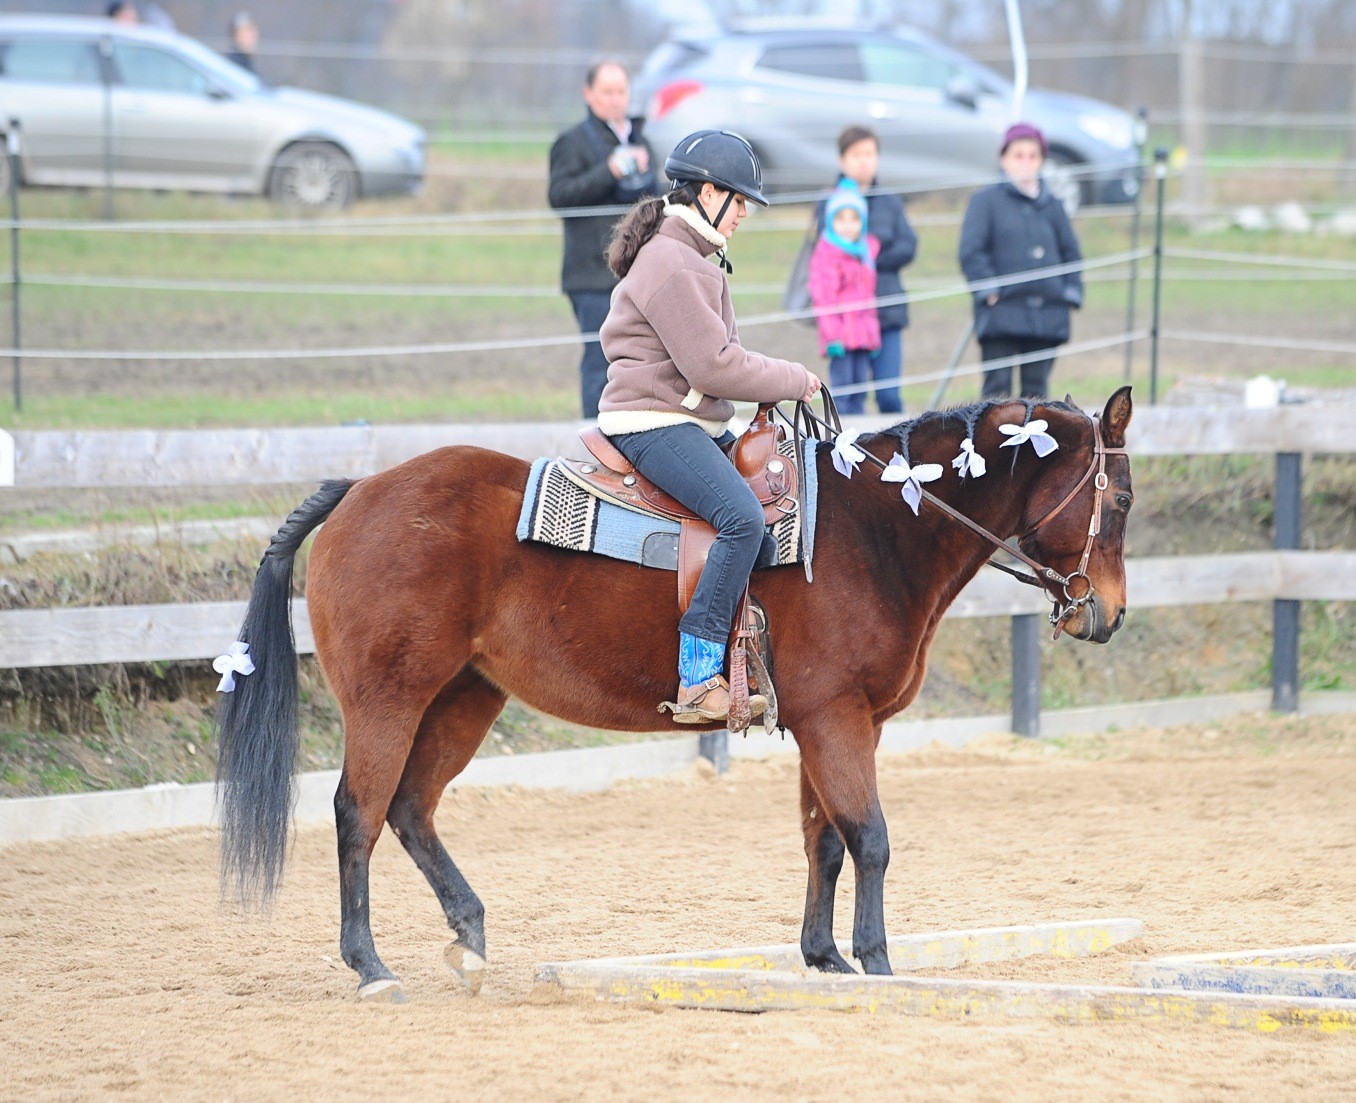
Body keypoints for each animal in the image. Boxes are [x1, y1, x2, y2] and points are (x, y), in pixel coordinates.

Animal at [214, 385, 1133, 998]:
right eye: (1118, 498)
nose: (1108, 614)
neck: (871, 532)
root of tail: (360, 491)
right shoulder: (836, 719)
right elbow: (869, 839)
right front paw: (876, 961)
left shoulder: (835, 723)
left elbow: (825, 842)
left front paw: (824, 957)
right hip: (389, 698)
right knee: (358, 812)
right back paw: (369, 964)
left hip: (465, 697)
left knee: (410, 806)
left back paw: (468, 933)